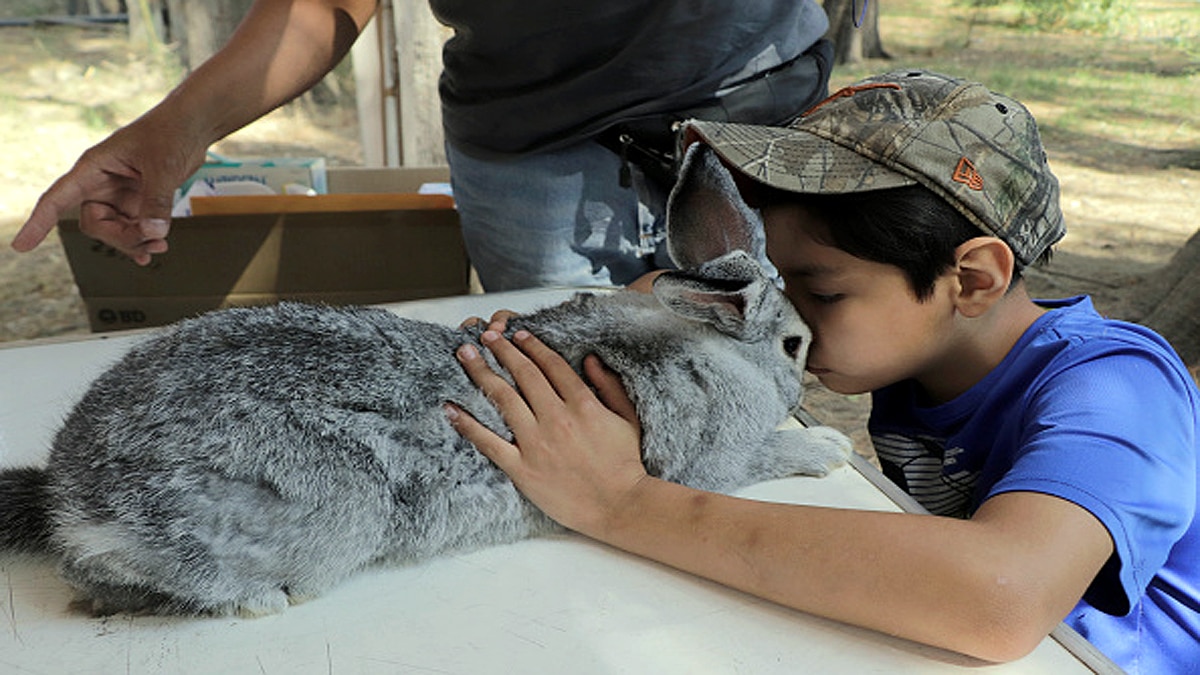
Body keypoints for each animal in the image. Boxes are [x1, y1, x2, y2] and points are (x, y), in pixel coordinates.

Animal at [0, 144, 851, 617]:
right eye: (795, 343)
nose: (810, 387)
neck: (709, 346)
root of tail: (66, 494)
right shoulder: (705, 463)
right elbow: (764, 457)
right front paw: (830, 449)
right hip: (333, 509)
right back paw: (257, 600)